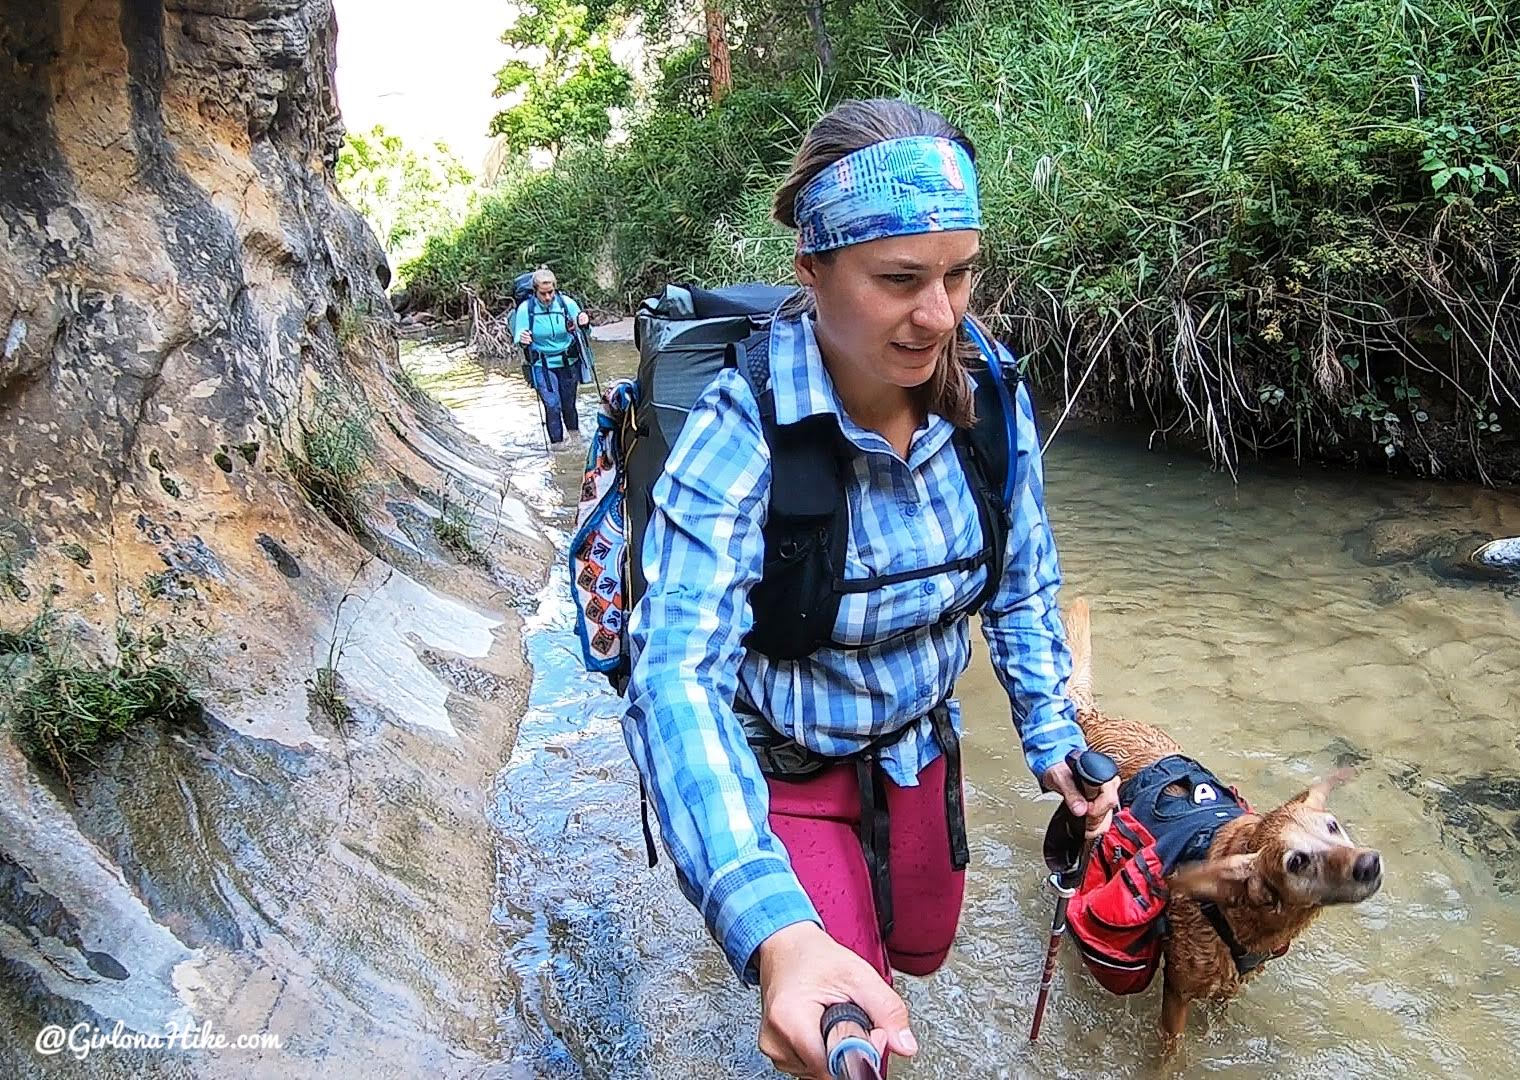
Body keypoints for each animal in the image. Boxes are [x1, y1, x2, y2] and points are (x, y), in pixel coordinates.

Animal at [1064, 595, 1386, 1051]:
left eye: (1332, 826)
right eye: (1296, 862)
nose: (1369, 863)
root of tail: (1098, 719)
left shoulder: (1230, 985)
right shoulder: (1178, 991)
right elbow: (1172, 1053)